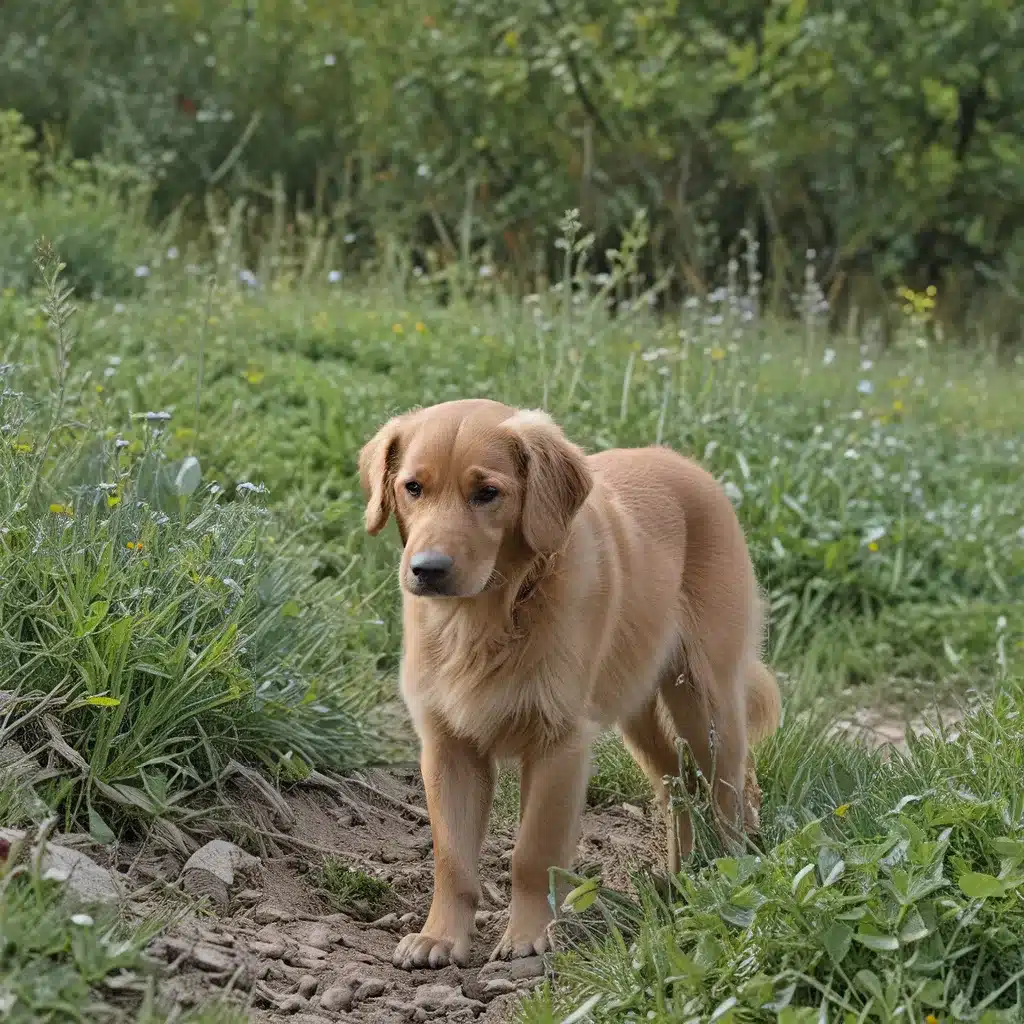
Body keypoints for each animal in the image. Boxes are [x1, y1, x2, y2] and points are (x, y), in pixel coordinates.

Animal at [356, 397, 778, 966]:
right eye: (413, 487)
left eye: (487, 493)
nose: (427, 569)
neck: (489, 617)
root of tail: (685, 463)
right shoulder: (448, 746)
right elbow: (453, 859)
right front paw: (440, 937)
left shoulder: (559, 742)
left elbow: (533, 851)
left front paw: (529, 936)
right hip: (639, 712)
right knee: (679, 784)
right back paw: (681, 877)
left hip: (708, 699)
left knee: (731, 787)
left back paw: (729, 872)